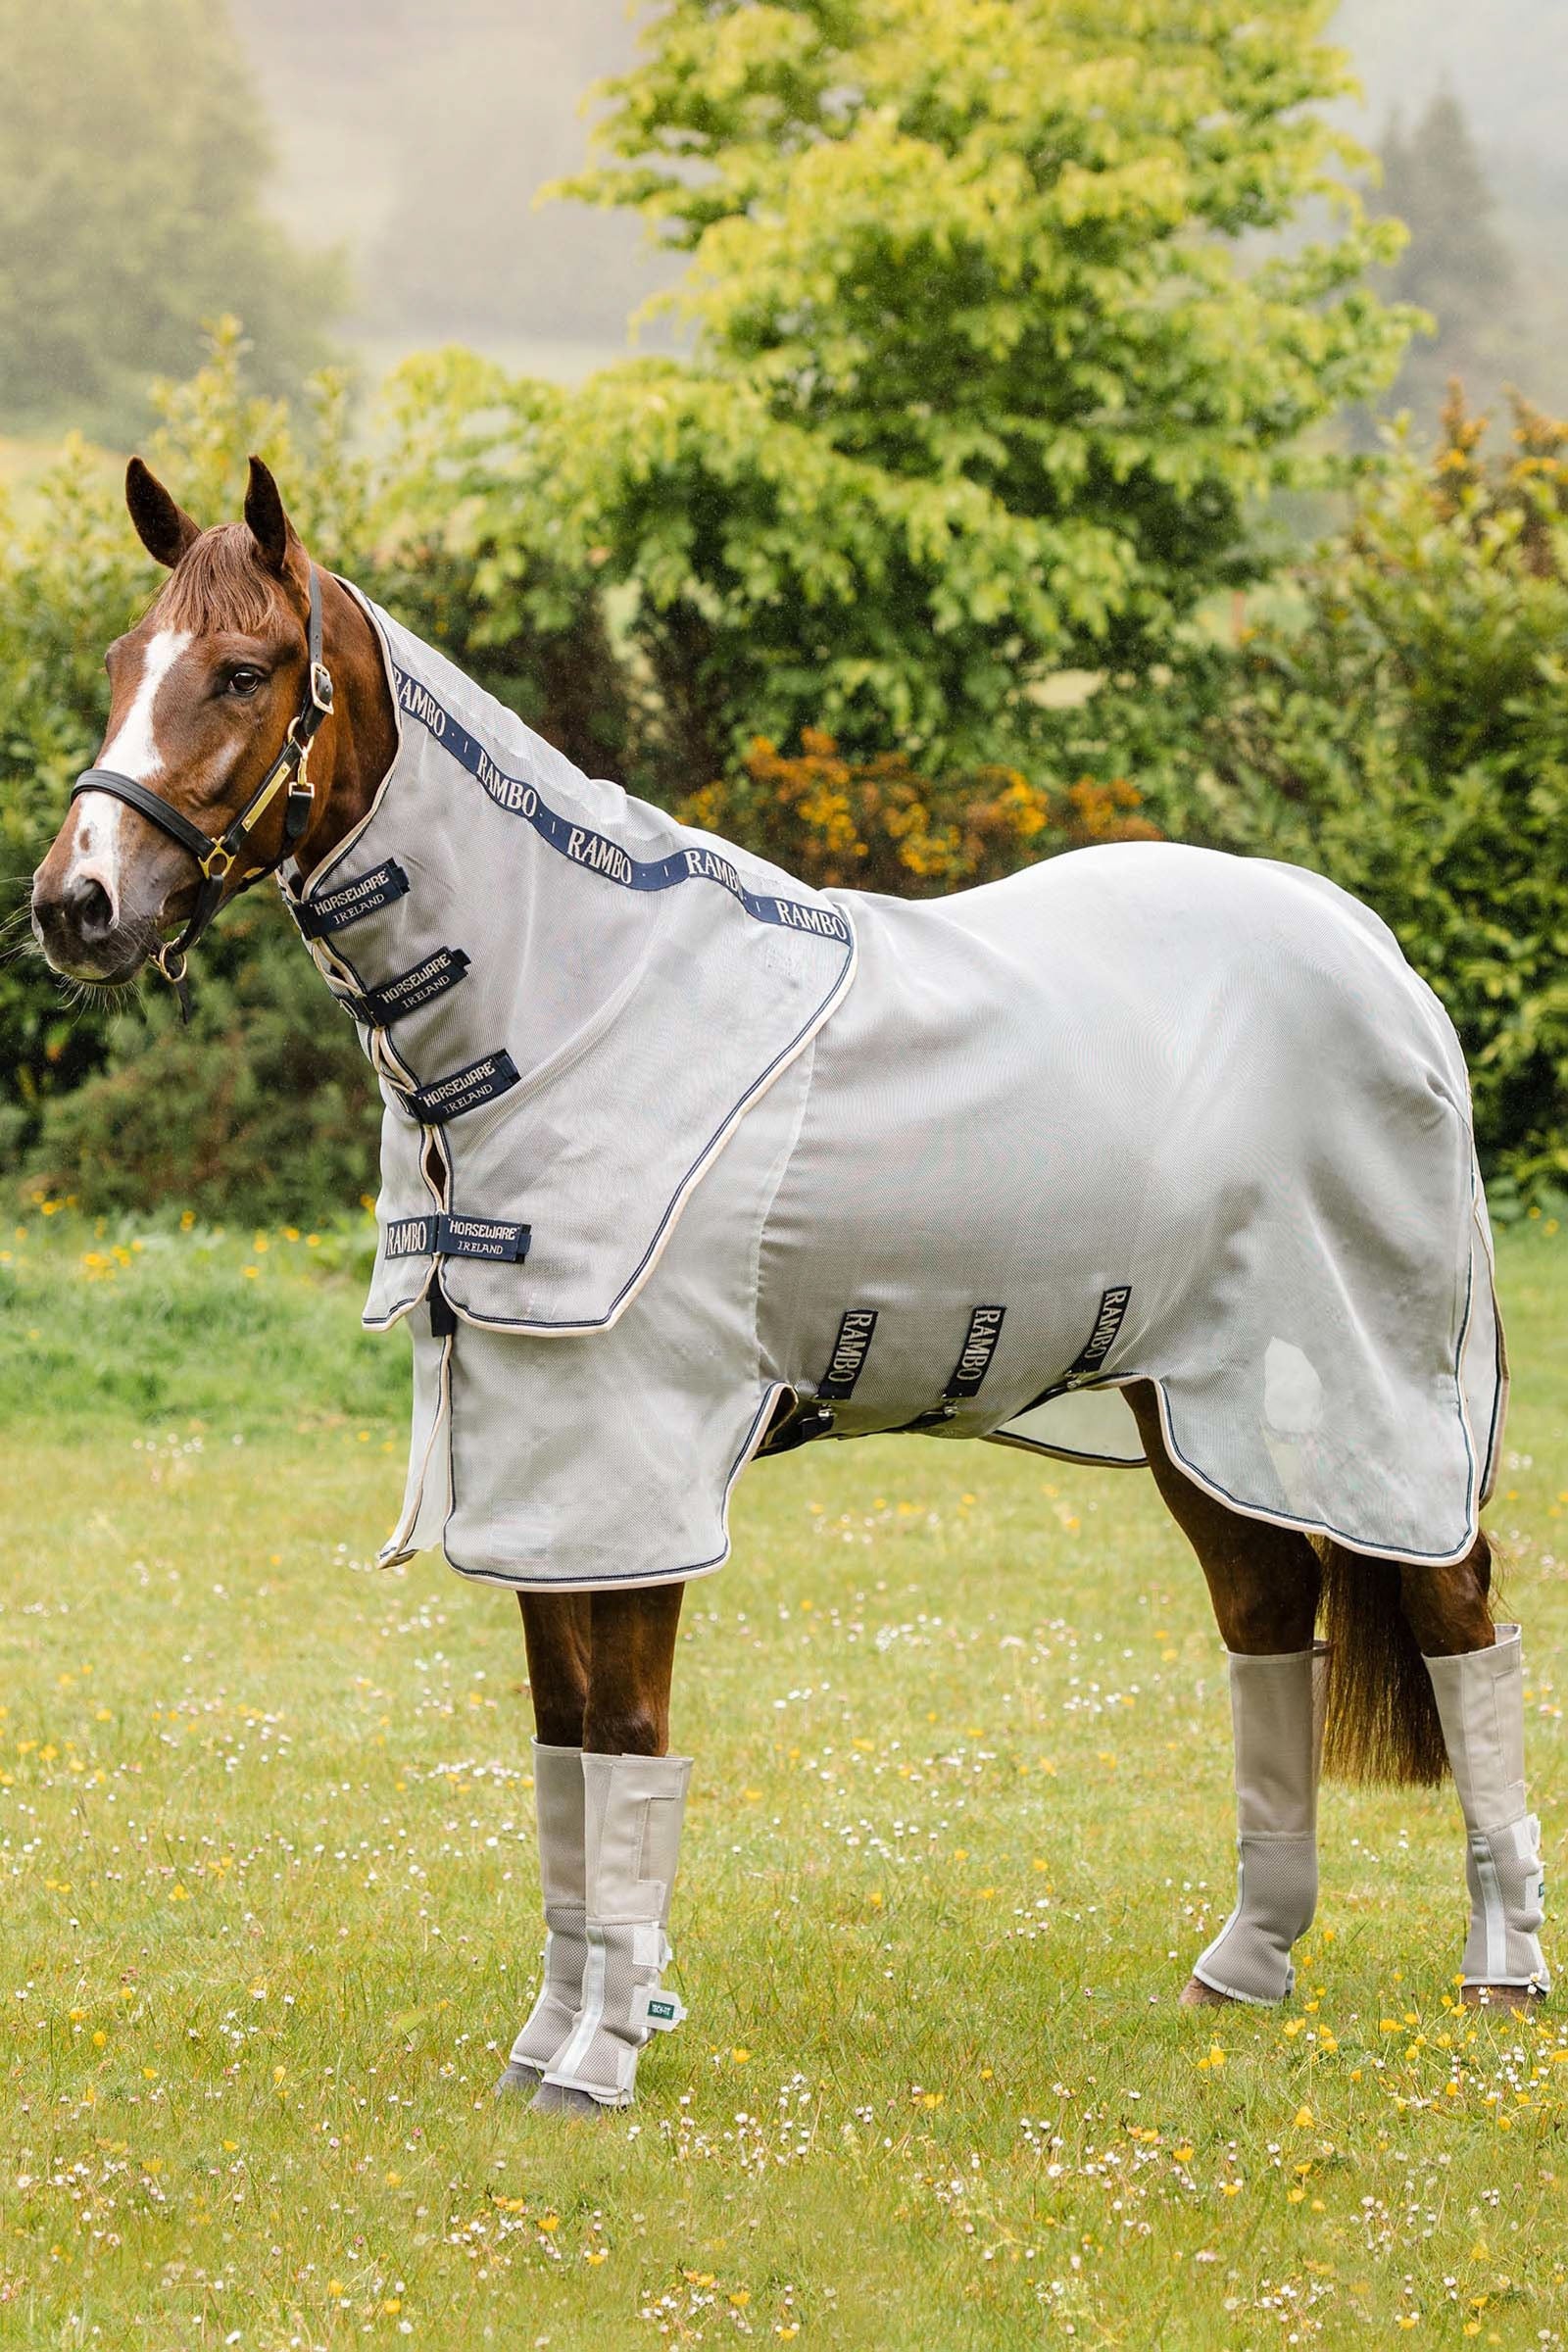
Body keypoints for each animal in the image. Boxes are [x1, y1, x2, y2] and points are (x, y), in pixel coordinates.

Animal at [30, 459, 1548, 2118]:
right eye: (120, 662)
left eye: (242, 672)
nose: (77, 904)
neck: (573, 1007)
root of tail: (1371, 950)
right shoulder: (544, 1473)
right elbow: (565, 1758)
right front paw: (546, 2045)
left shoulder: (631, 1465)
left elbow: (627, 1742)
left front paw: (600, 2065)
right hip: (1192, 1402)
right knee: (1271, 1617)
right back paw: (1246, 1968)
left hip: (1368, 1389)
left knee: (1461, 1619)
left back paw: (1500, 1974)